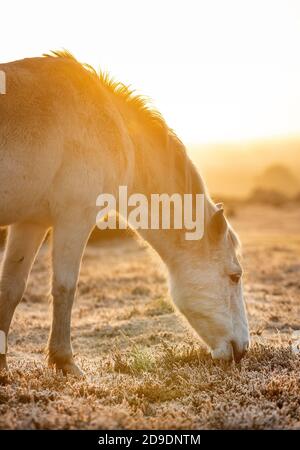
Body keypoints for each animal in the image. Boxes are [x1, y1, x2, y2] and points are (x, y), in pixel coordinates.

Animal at [0, 51, 248, 376]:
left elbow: (11, 289)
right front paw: (65, 361)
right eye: (234, 276)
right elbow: (65, 287)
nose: (242, 349)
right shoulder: (75, 218)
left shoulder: (31, 222)